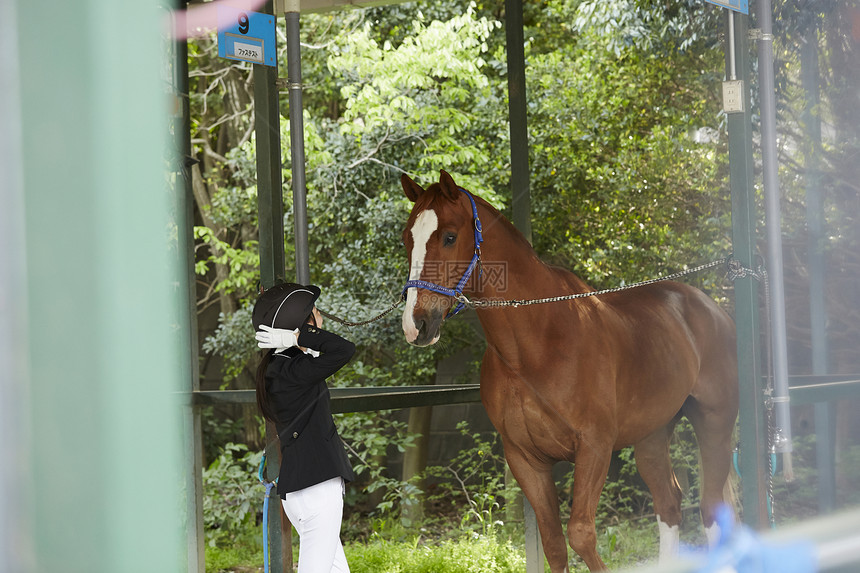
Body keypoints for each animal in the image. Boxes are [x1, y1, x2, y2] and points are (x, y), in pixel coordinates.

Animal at [400, 171, 736, 572]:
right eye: (407, 238)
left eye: (449, 236)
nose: (416, 325)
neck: (535, 345)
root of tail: (709, 307)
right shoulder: (526, 459)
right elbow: (554, 544)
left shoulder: (594, 448)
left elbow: (581, 535)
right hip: (653, 436)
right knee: (669, 504)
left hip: (714, 421)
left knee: (712, 510)